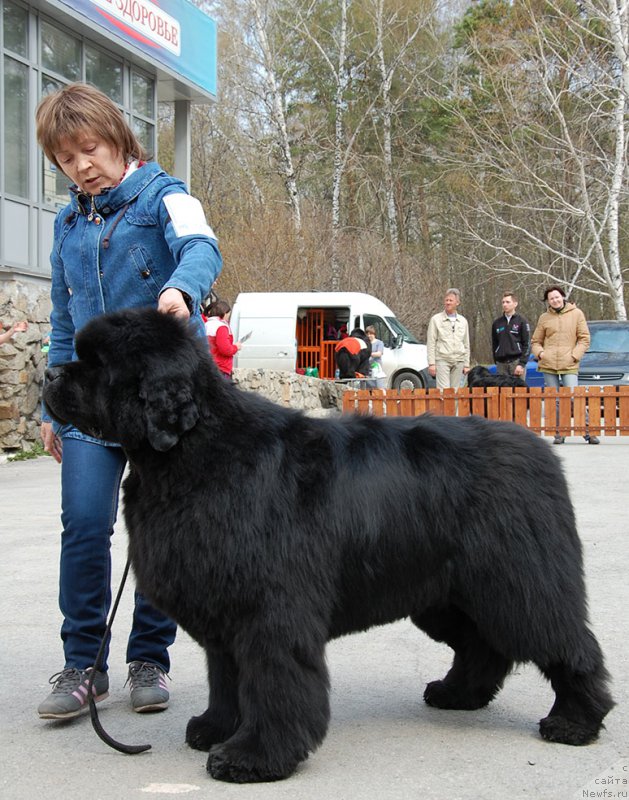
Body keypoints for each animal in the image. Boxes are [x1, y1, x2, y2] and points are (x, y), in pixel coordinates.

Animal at [45, 310, 612, 784]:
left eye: (99, 364)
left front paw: (254, 757)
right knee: (481, 646)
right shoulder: (226, 609)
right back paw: (458, 694)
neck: (194, 452)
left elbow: (273, 683)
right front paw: (216, 727)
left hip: (519, 585)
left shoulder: (270, 611)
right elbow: (226, 678)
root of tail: (540, 450)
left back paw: (574, 722)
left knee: (566, 644)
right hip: (446, 595)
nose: (50, 374)